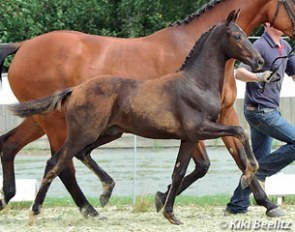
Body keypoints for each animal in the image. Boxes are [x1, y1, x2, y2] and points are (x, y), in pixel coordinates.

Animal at [9, 10, 264, 225]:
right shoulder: (200, 128)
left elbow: (179, 171)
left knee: (80, 155)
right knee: (57, 163)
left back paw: (105, 192)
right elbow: (240, 132)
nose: (260, 61)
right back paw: (36, 212)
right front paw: (249, 173)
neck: (196, 83)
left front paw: (170, 214)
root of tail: (74, 90)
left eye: (245, 34)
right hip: (82, 133)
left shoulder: (189, 138)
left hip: (109, 132)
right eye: (236, 36)